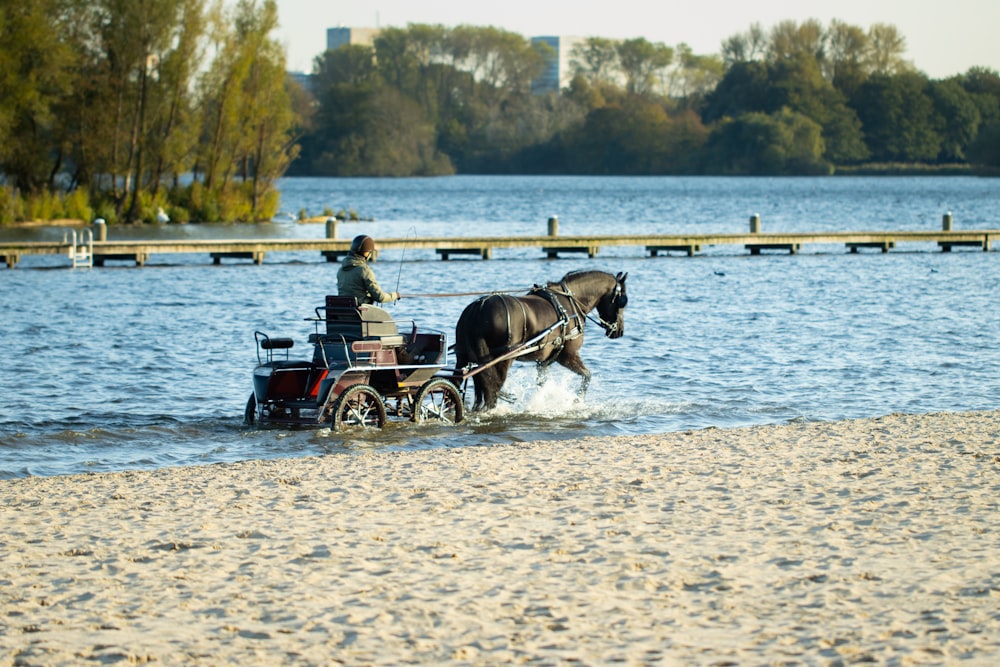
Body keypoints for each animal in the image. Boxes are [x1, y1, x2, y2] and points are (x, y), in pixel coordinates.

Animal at [452, 268, 624, 410]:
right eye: (623, 301)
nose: (619, 331)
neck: (570, 303)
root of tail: (478, 308)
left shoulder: (544, 361)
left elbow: (541, 384)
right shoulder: (568, 355)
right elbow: (587, 375)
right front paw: (576, 401)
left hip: (463, 357)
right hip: (502, 360)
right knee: (492, 393)